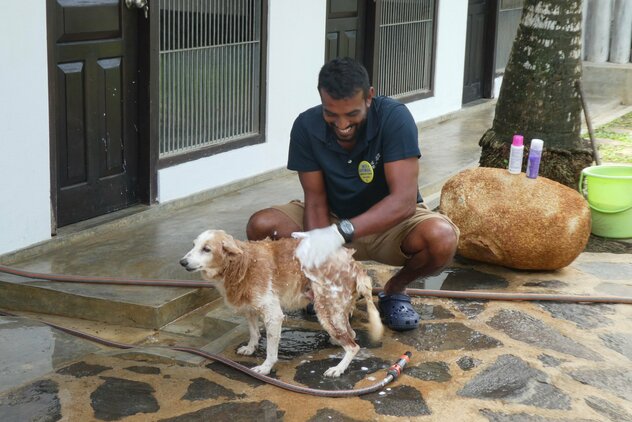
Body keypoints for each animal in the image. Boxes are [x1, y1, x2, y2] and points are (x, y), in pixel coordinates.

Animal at [180, 229, 382, 378]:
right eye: (193, 245)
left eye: (206, 249)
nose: (182, 262)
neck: (240, 263)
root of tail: (354, 264)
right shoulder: (250, 309)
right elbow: (253, 332)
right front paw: (251, 348)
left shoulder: (273, 315)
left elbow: (271, 350)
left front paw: (265, 368)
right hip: (335, 309)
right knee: (351, 333)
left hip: (326, 310)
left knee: (353, 346)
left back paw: (338, 368)